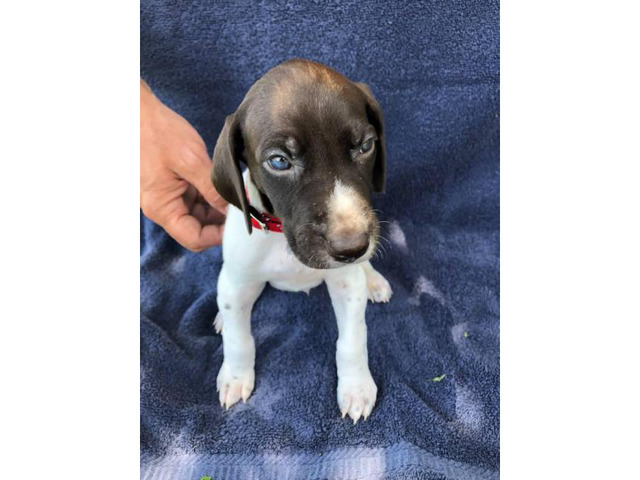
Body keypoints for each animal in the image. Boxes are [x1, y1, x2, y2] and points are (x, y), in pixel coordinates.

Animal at [211, 58, 390, 422]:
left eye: (365, 146)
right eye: (279, 161)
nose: (352, 247)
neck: (282, 238)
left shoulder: (346, 282)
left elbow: (352, 341)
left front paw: (356, 387)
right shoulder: (237, 281)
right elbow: (239, 339)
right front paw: (235, 376)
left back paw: (374, 280)